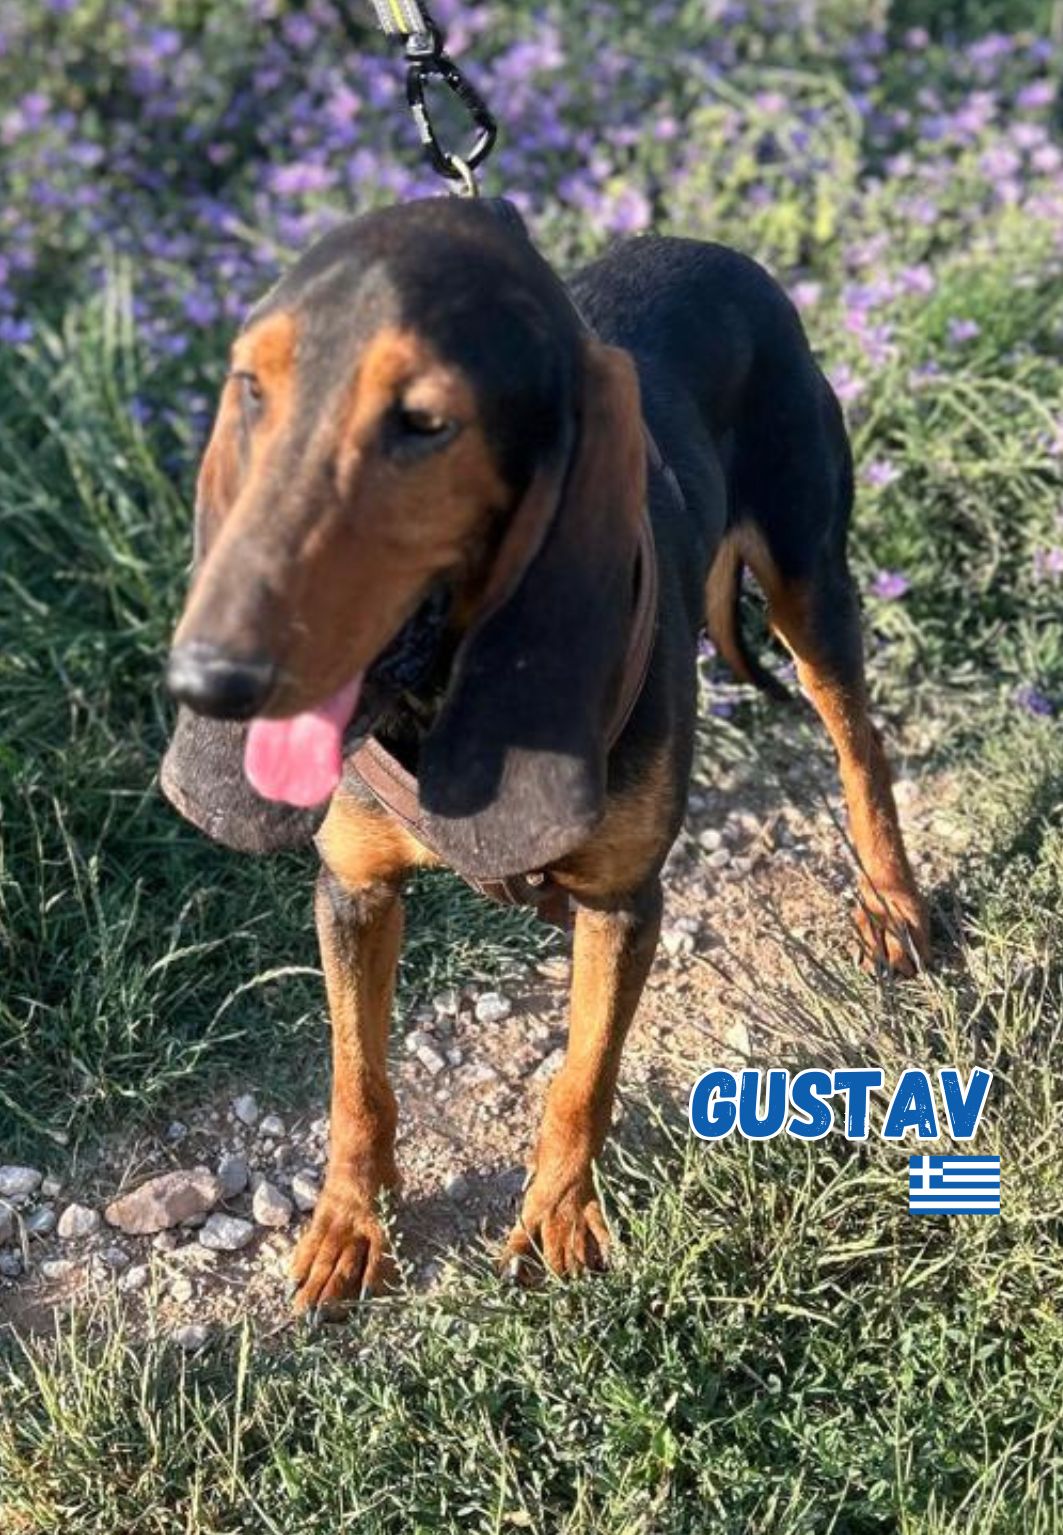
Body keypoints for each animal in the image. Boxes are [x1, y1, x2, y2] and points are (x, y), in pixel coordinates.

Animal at [162, 196, 928, 1312]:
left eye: (424, 422)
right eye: (251, 389)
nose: (209, 678)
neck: (436, 694)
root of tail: (716, 253)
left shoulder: (623, 901)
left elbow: (581, 1075)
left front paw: (559, 1217)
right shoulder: (353, 889)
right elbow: (357, 1081)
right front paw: (348, 1224)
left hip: (807, 578)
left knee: (857, 737)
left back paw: (893, 900)